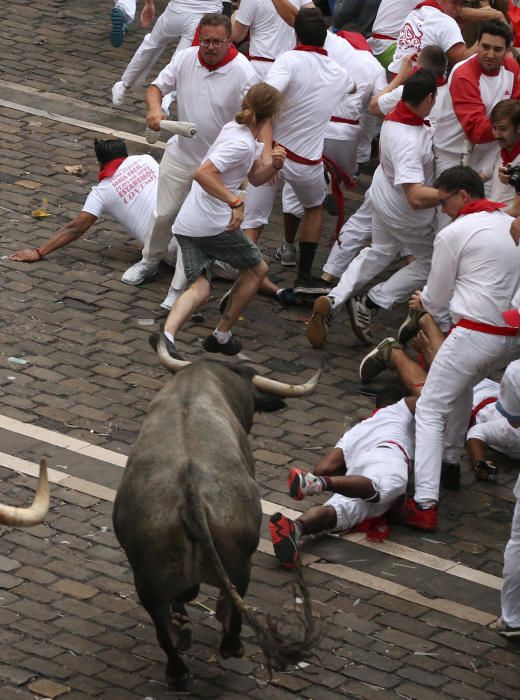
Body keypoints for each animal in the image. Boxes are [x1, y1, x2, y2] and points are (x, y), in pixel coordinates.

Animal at [114, 336, 320, 692]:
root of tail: (190, 494)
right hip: (240, 562)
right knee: (231, 603)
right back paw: (230, 646)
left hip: (148, 577)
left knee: (164, 626)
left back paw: (178, 659)